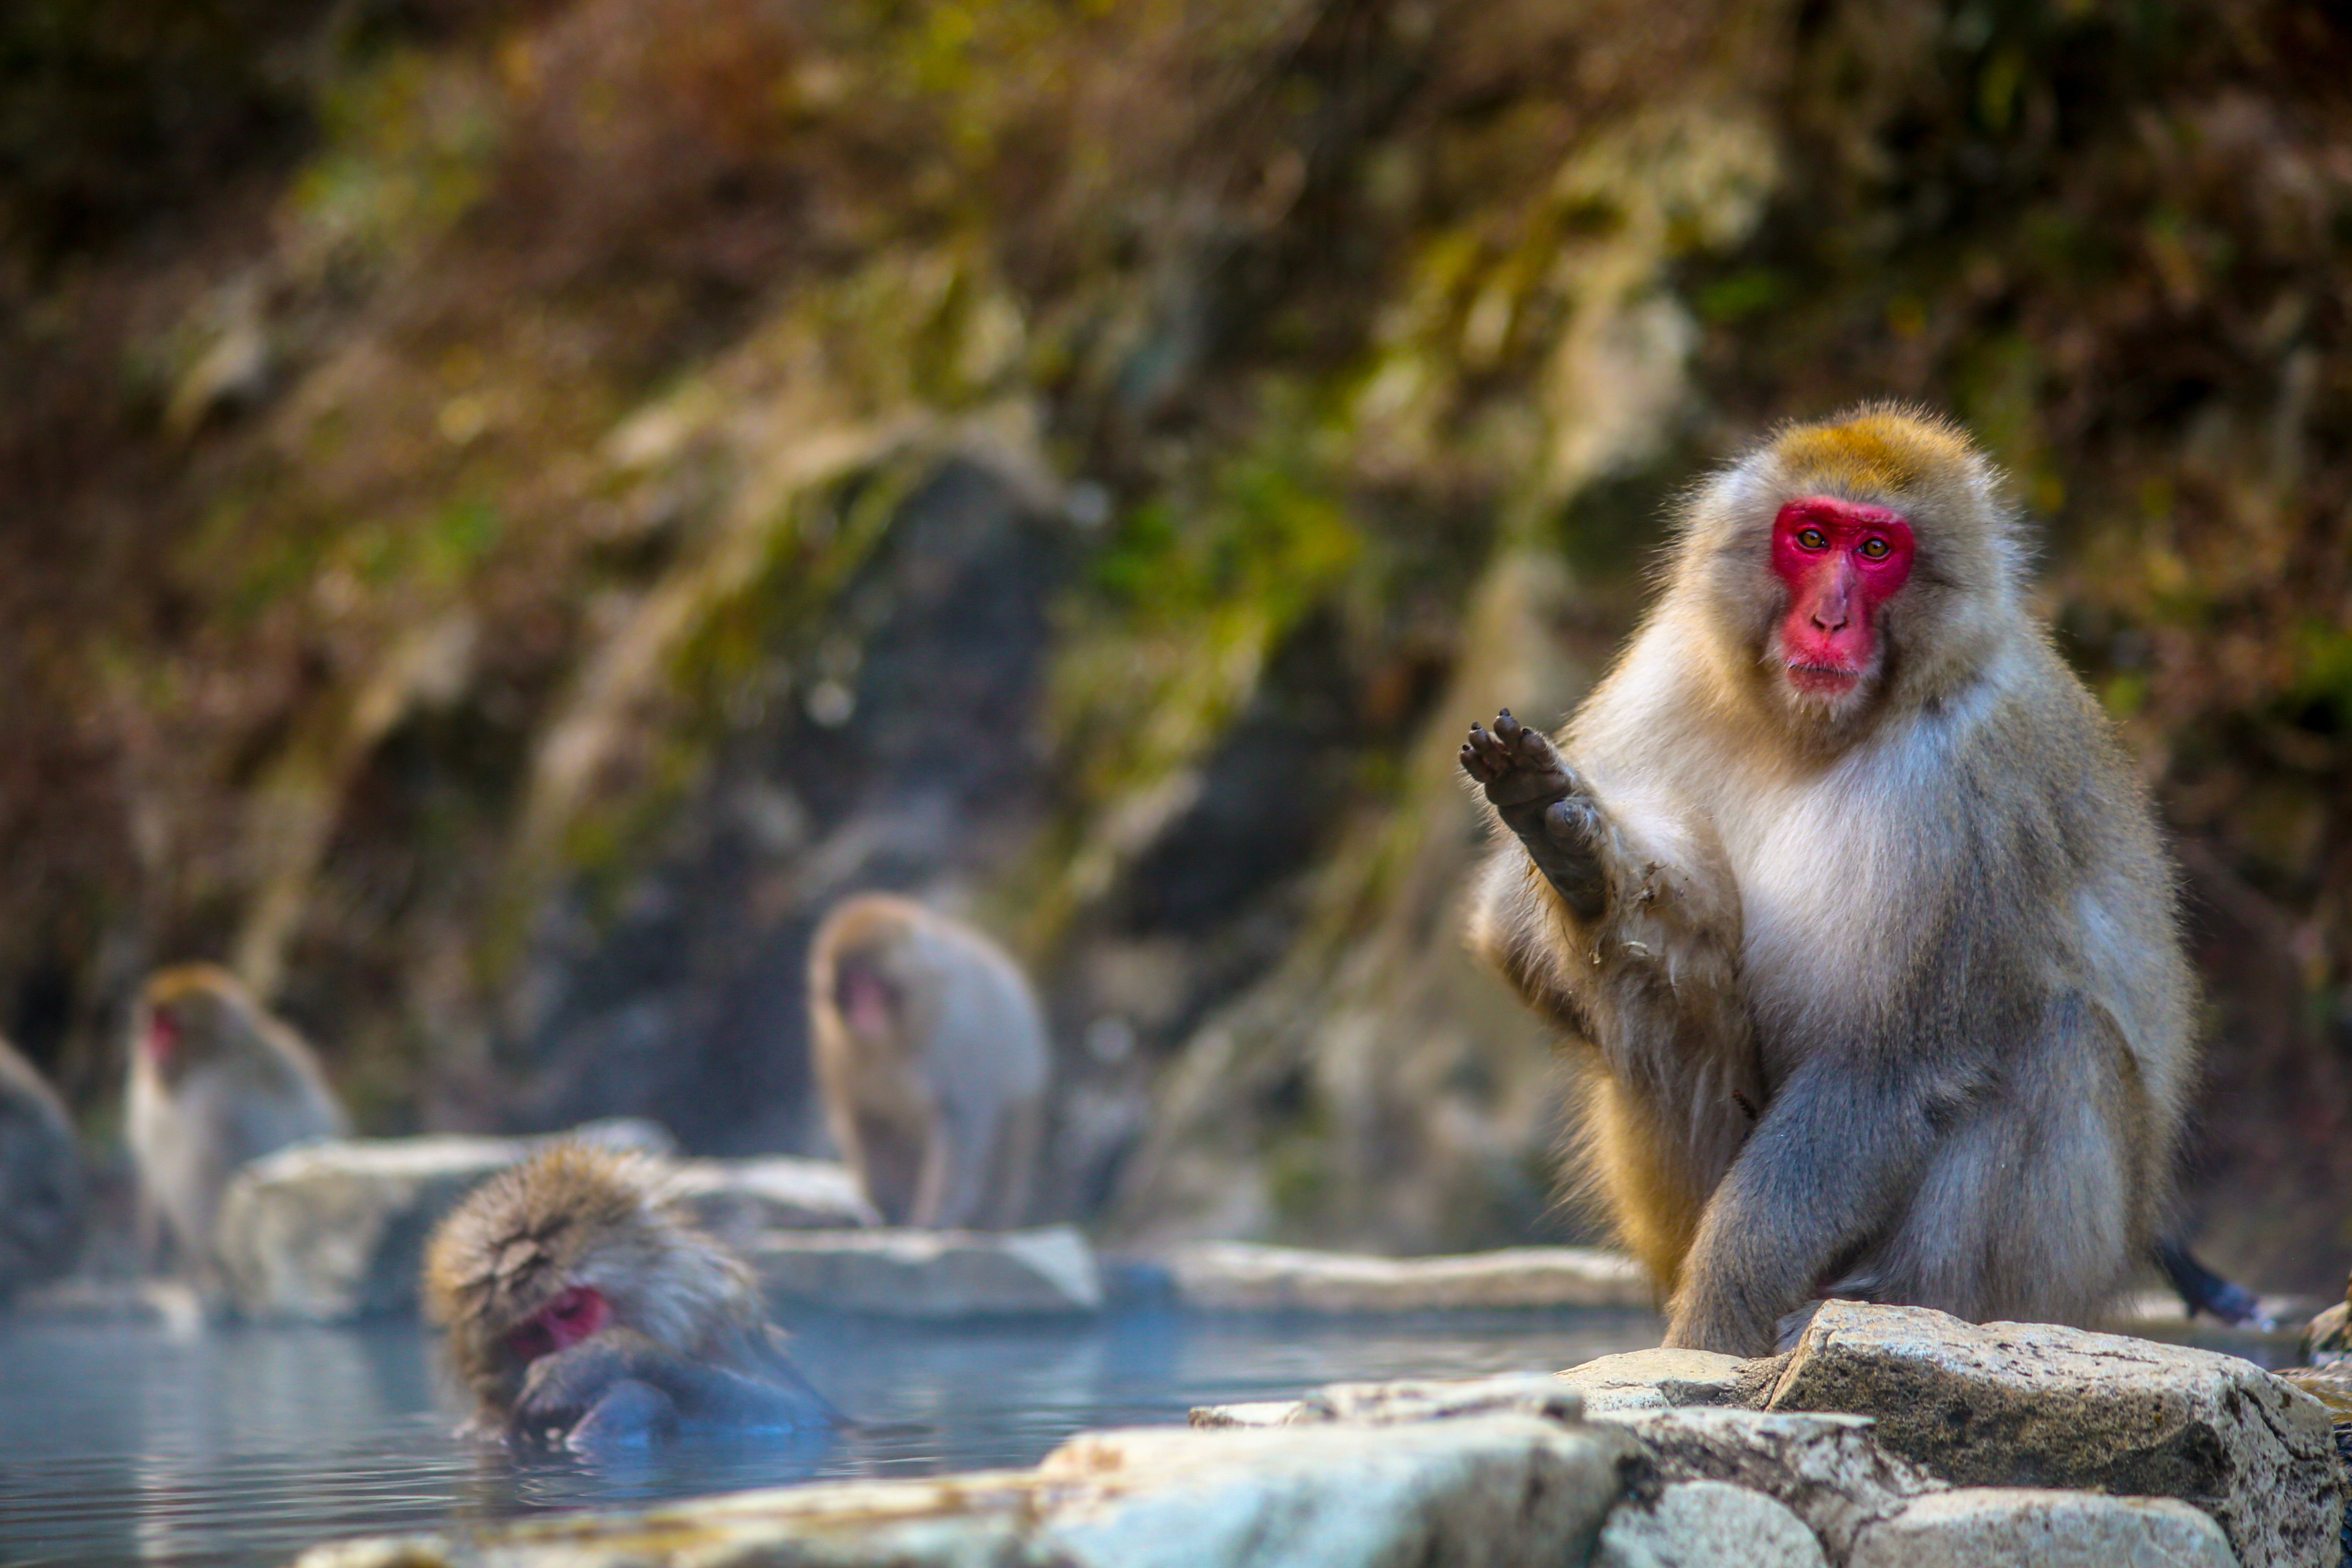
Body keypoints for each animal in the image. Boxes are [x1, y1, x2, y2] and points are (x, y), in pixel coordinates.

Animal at [807, 894, 1050, 1231]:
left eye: (873, 987)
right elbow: (868, 1118)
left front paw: (935, 1217)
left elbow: (961, 1118)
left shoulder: (954, 1034)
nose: (864, 1014)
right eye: (853, 987)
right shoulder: (835, 1045)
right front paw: (884, 1210)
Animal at [1461, 405, 2195, 1357]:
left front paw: (1715, 1323)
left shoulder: (1958, 784)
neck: (1810, 729)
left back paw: (1895, 1301)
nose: (1829, 618)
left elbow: (1878, 1066)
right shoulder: (1669, 667)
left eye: (1877, 550)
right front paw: (1581, 866)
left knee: (2059, 1037)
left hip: (2062, 1274)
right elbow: (1514, 932)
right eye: (1811, 538)